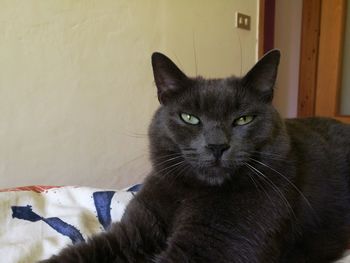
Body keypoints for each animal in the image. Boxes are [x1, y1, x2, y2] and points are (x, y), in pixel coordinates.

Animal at [41, 50, 350, 262]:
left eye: (243, 119)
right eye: (189, 118)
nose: (217, 145)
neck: (189, 193)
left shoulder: (213, 248)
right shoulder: (132, 233)